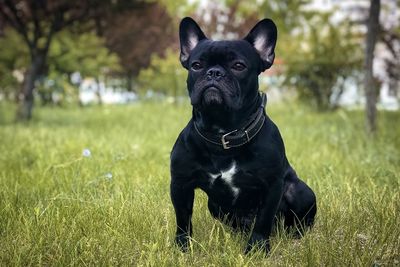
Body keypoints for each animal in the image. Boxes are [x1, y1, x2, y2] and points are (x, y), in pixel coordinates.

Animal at [169, 17, 316, 255]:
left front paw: (257, 249)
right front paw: (183, 248)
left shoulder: (272, 186)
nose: (214, 72)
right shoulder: (180, 184)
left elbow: (263, 220)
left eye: (238, 66)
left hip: (301, 191)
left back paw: (296, 237)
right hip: (215, 206)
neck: (224, 131)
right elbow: (183, 219)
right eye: (196, 65)